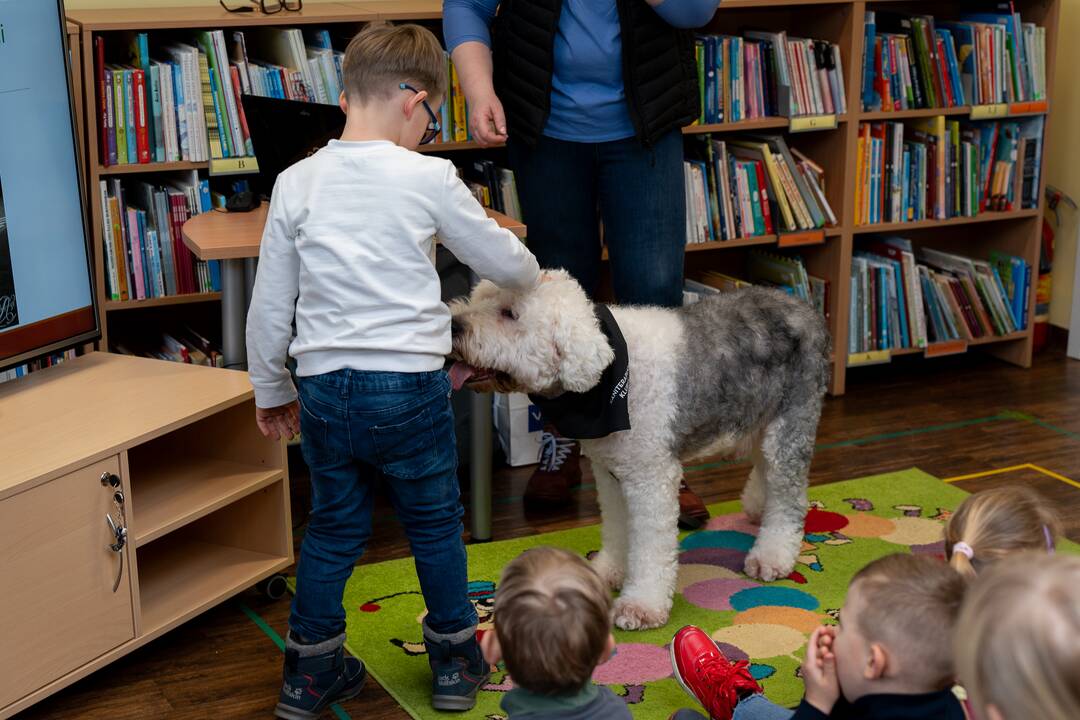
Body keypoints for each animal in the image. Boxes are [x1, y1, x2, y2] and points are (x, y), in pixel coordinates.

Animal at [447, 272, 825, 630]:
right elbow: (617, 527)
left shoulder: (650, 478)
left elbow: (650, 546)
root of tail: (805, 308)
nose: (453, 326)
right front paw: (607, 571)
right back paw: (759, 508)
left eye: (509, 313)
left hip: (791, 422)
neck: (605, 378)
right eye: (480, 297)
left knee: (789, 498)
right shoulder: (611, 473)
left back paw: (772, 555)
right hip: (761, 419)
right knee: (765, 471)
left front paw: (640, 606)